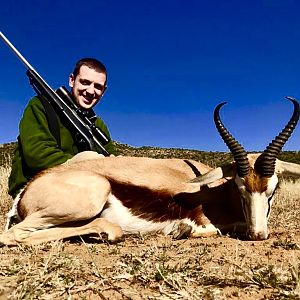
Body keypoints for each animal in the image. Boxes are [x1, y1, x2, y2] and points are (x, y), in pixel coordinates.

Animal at [0, 98, 300, 246]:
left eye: (272, 190)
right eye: (240, 188)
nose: (257, 235)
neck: (217, 193)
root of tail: (27, 191)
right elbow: (211, 229)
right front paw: (182, 230)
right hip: (92, 197)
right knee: (14, 235)